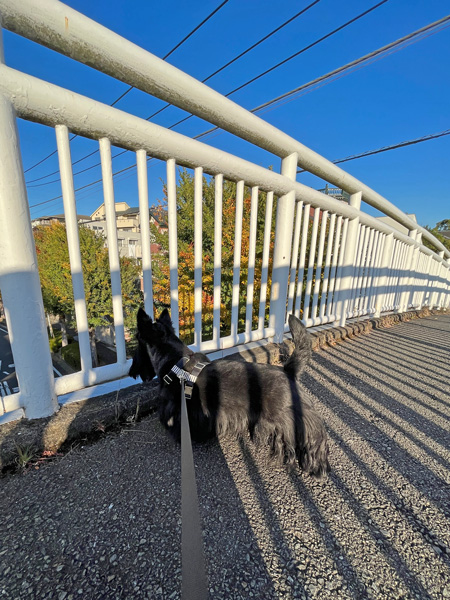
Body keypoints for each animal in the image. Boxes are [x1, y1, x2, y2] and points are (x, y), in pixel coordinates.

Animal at [128, 310, 328, 478]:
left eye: (138, 343)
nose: (132, 371)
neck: (176, 363)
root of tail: (288, 370)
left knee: (313, 438)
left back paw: (314, 466)